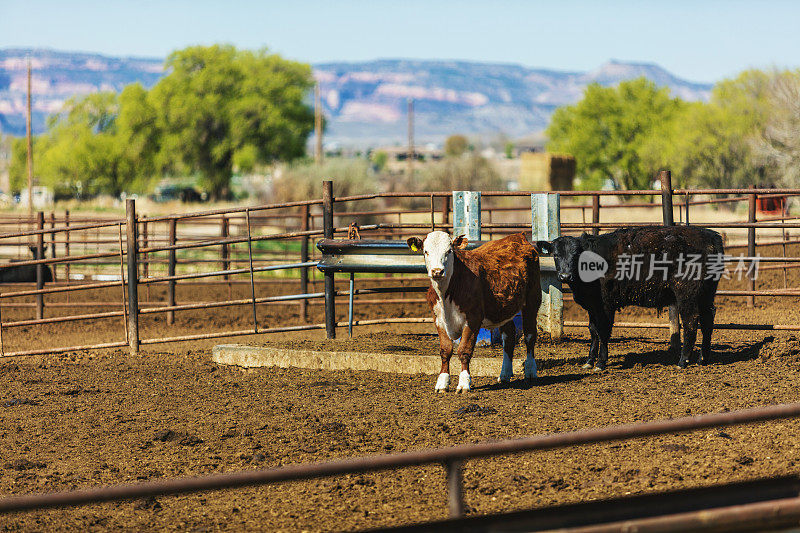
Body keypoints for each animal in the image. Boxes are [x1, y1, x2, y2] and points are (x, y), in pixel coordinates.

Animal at [406, 230, 544, 390]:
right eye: (426, 251)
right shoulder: (438, 319)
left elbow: (464, 350)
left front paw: (464, 382)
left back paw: (530, 371)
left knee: (529, 335)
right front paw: (442, 381)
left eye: (449, 251)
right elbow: (445, 350)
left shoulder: (473, 318)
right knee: (508, 338)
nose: (437, 271)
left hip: (533, 300)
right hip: (503, 310)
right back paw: (504, 374)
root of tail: (518, 236)